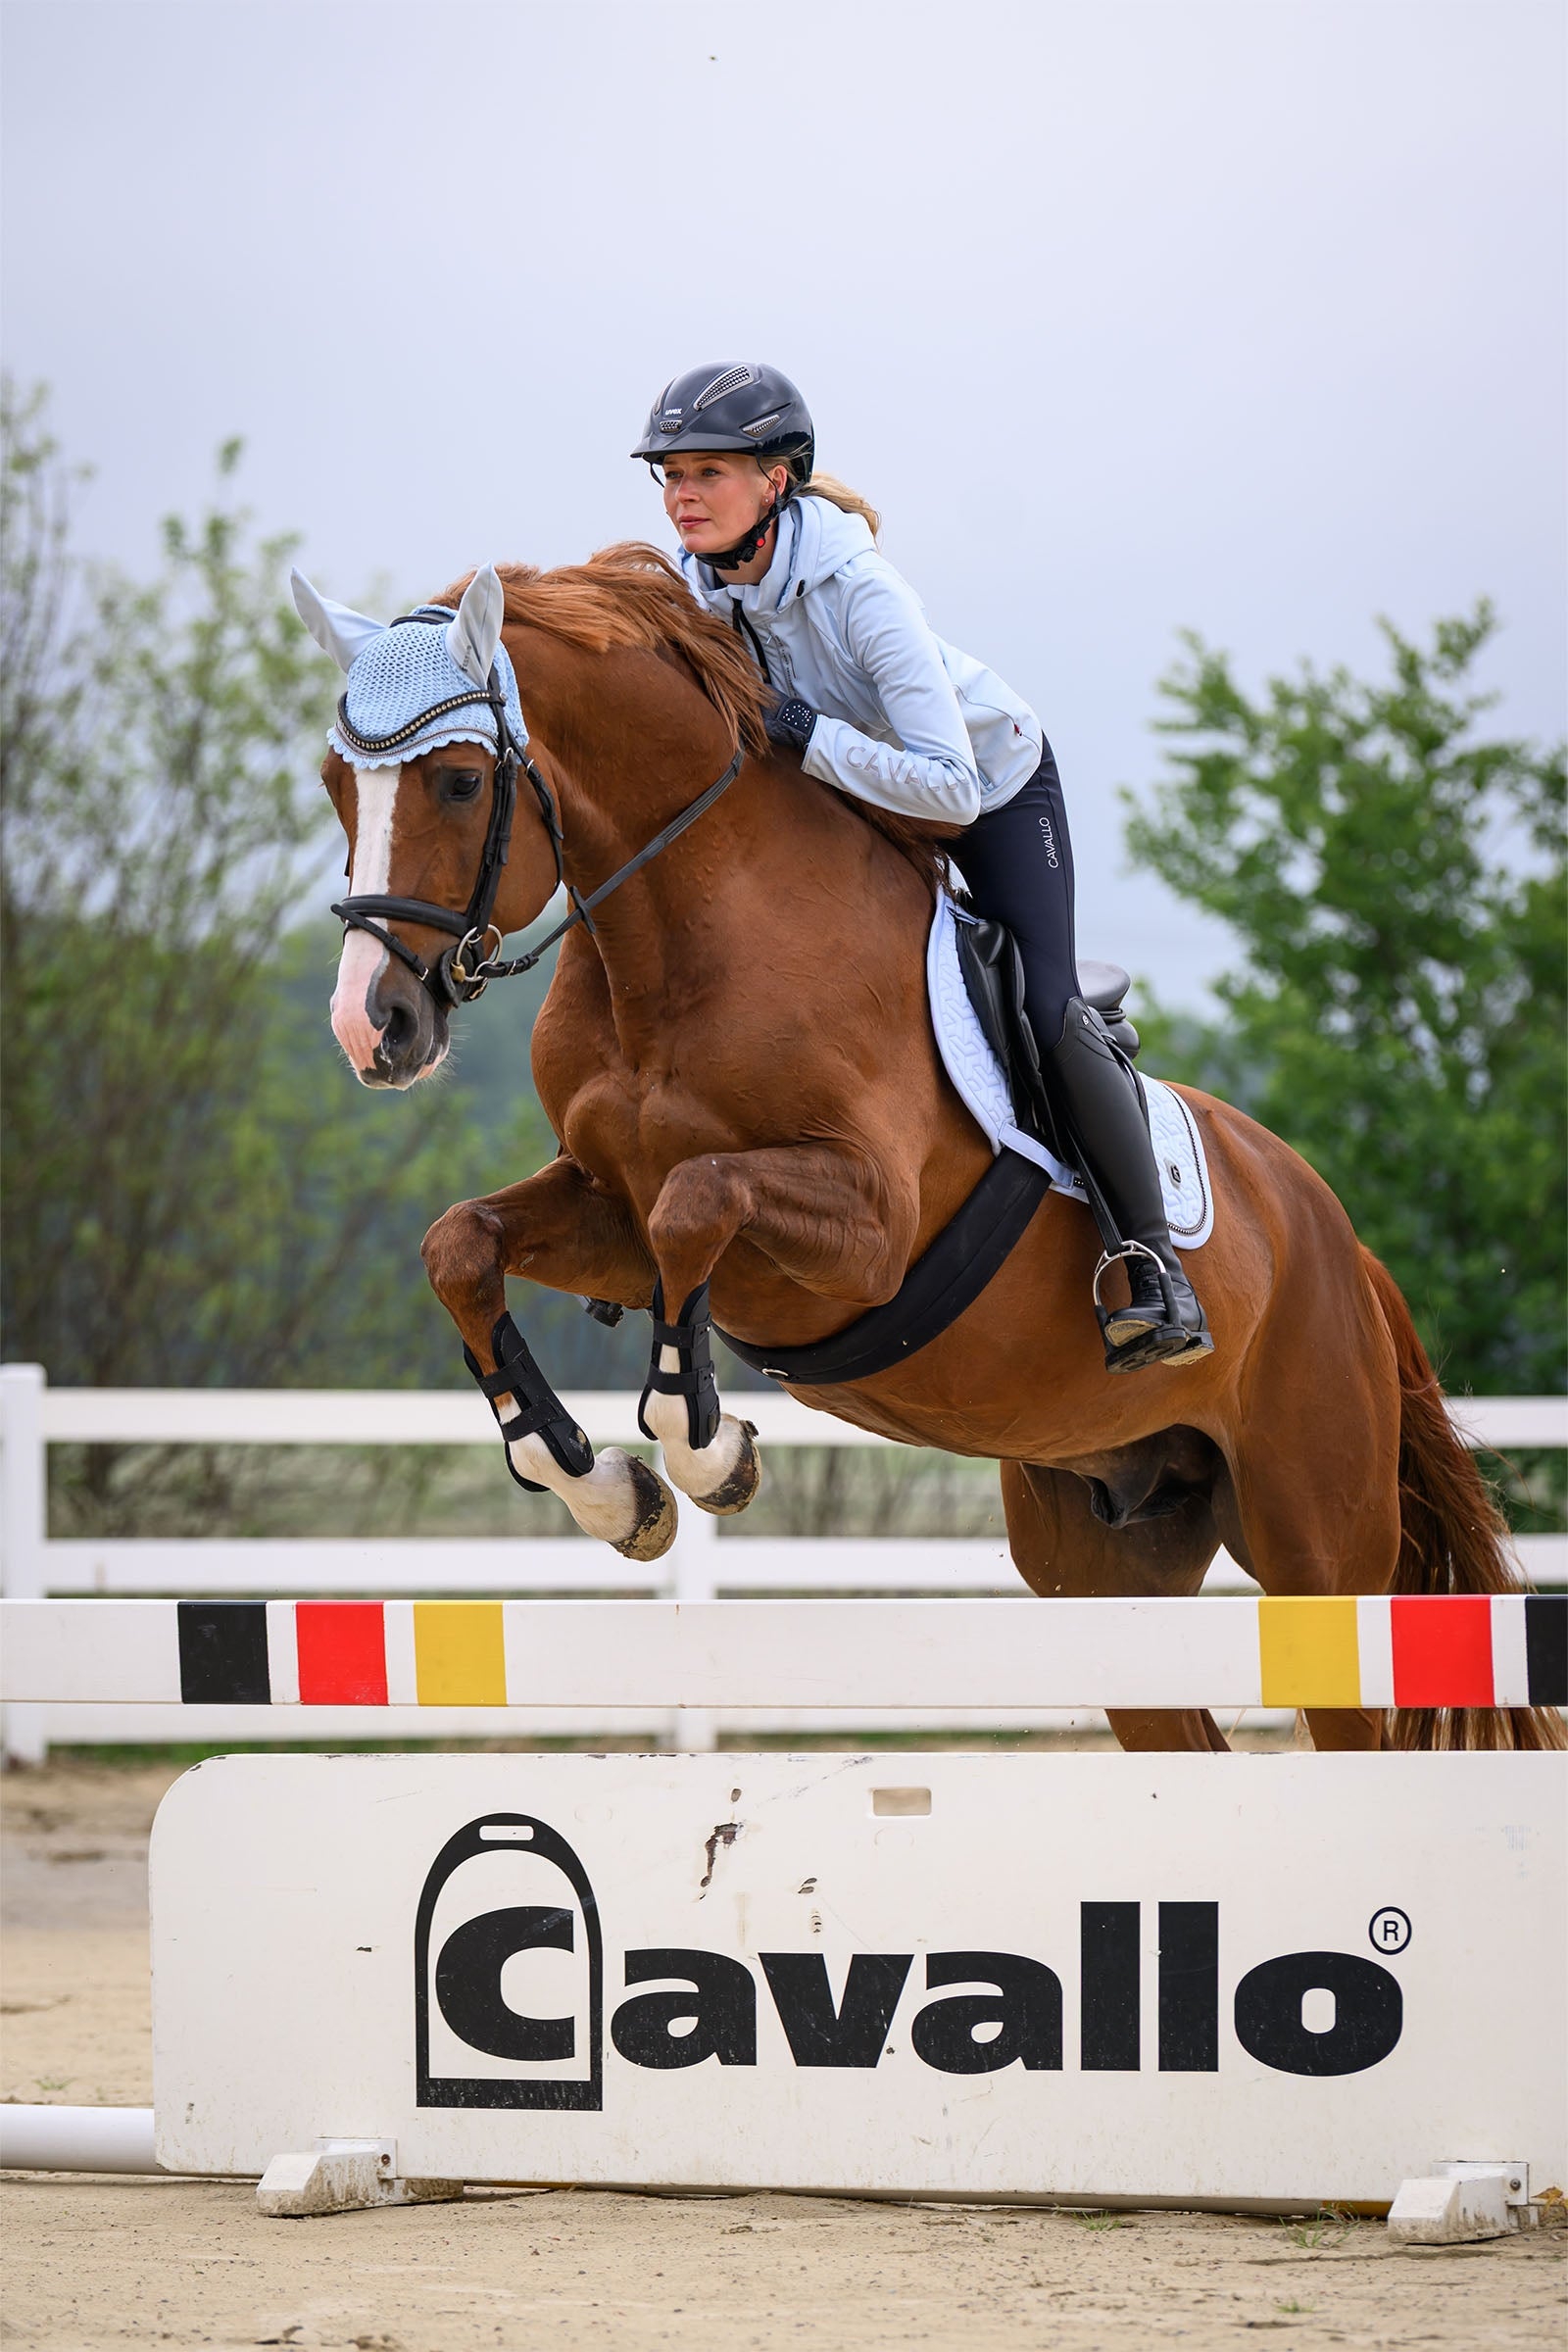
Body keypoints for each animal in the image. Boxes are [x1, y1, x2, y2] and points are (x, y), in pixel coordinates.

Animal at [301, 547, 1561, 1757]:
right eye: (332, 784)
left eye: (461, 781)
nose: (370, 1028)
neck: (683, 934)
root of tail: (1347, 1250)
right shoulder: (610, 1208)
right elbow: (462, 1243)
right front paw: (605, 1488)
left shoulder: (864, 1233)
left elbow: (695, 1207)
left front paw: (712, 1454)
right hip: (1107, 1564)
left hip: (1320, 1554)